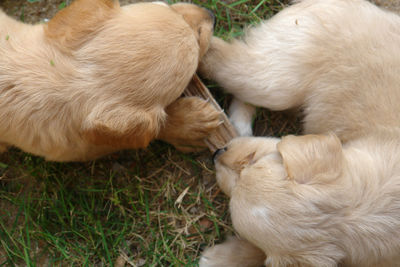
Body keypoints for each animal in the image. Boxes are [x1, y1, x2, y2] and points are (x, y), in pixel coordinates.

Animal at [0, 0, 220, 161]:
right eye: (199, 38)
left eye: (168, 6)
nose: (212, 14)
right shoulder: (81, 148)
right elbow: (153, 130)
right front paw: (192, 122)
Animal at [200, 0, 400, 266]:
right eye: (256, 160)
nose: (218, 153)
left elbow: (260, 254)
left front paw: (223, 257)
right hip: (277, 76)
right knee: (220, 55)